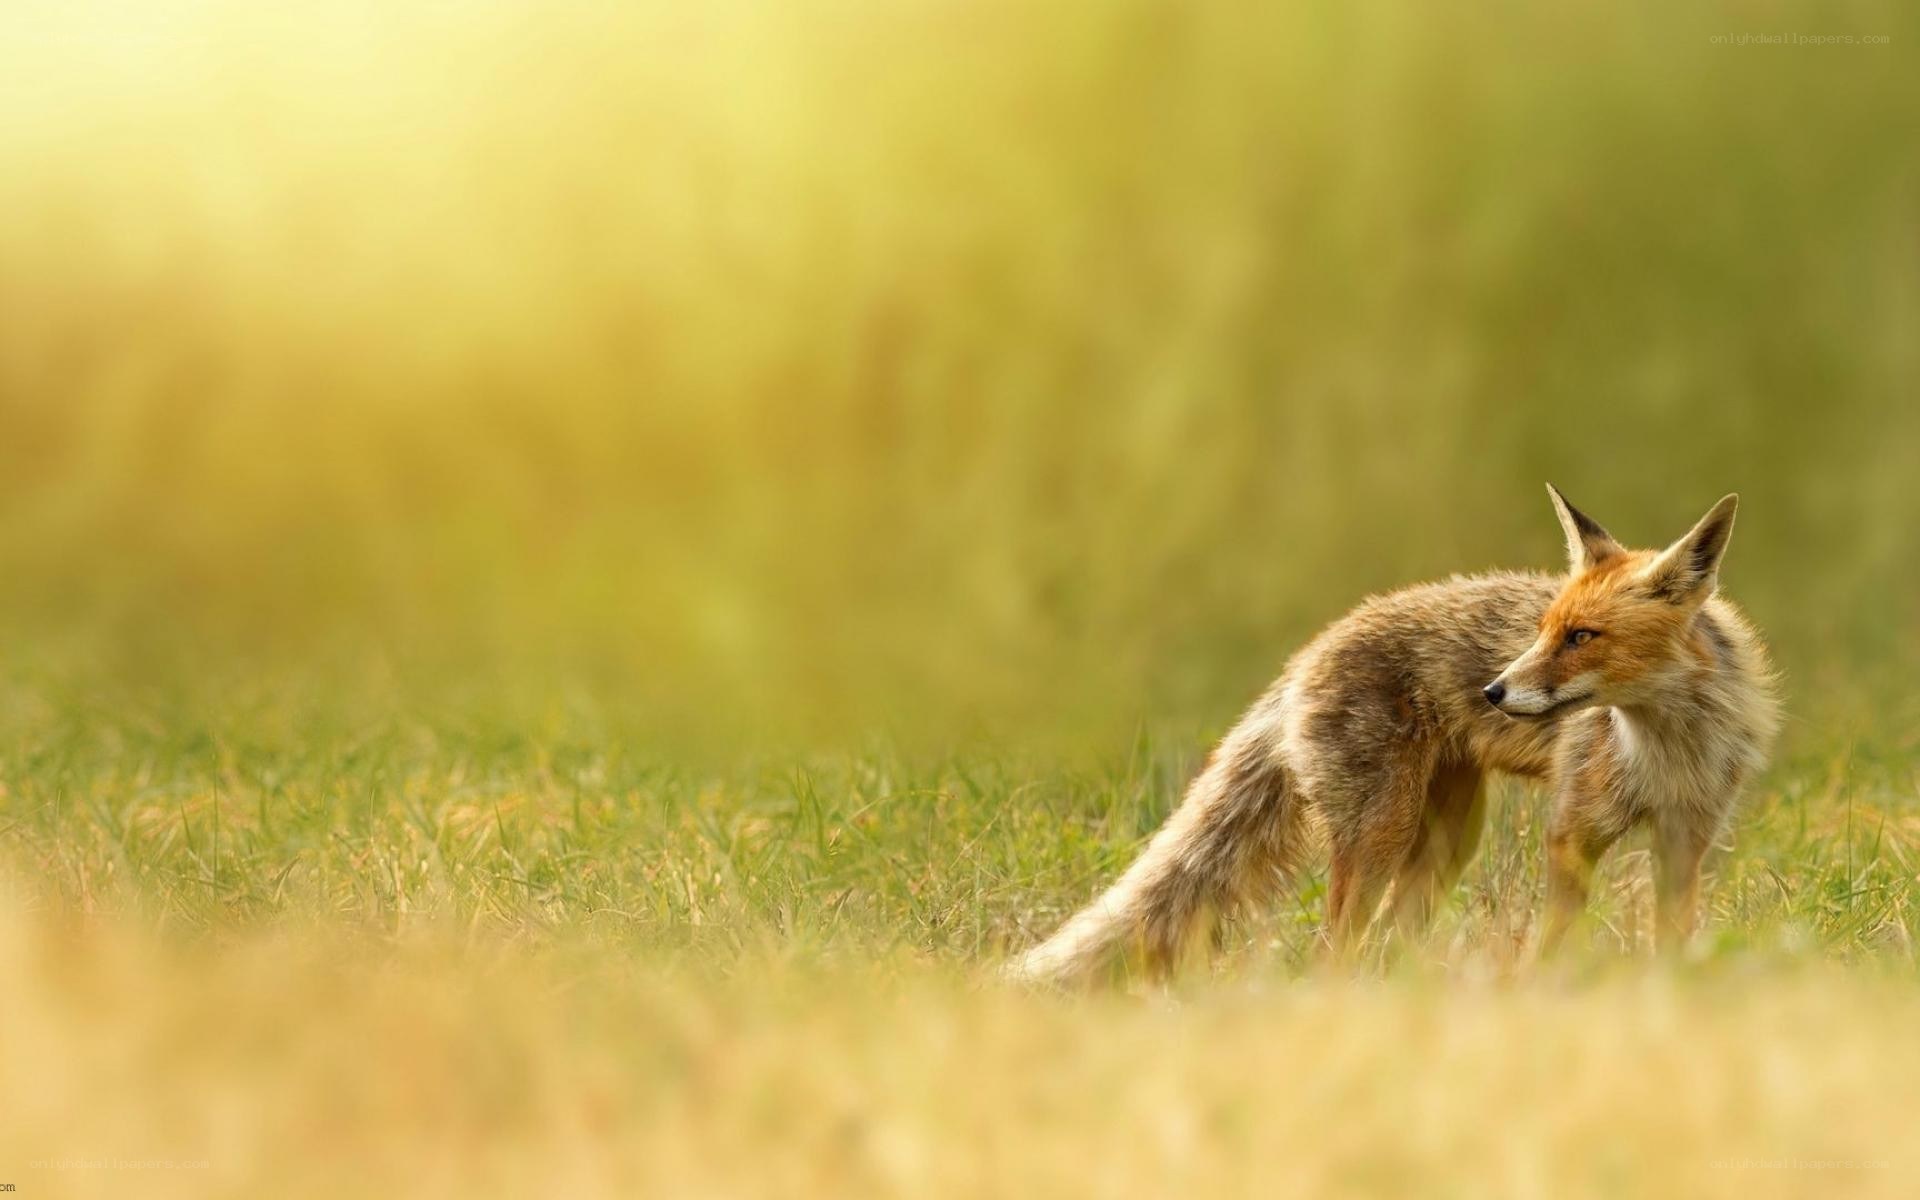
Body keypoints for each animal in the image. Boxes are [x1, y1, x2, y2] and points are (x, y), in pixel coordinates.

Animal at [1010, 486, 1780, 983]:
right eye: (1543, 631)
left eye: (1582, 637)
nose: (1494, 692)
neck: (1668, 750)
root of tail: (1306, 653)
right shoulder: (1572, 833)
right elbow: (1554, 944)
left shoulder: (1685, 839)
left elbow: (1672, 943)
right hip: (1383, 832)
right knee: (1335, 951)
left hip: (1444, 843)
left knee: (1386, 942)